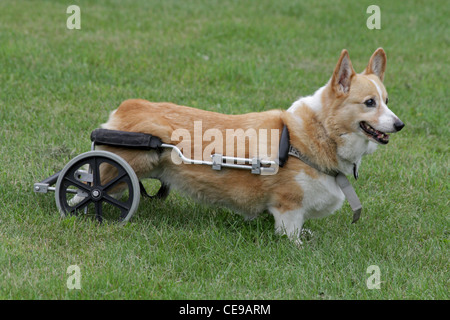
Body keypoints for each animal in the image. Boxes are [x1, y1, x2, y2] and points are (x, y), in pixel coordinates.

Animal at [96, 47, 404, 242]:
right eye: (369, 103)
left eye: (387, 101)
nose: (400, 125)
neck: (317, 132)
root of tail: (126, 107)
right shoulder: (288, 206)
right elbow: (291, 233)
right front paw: (299, 246)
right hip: (121, 169)